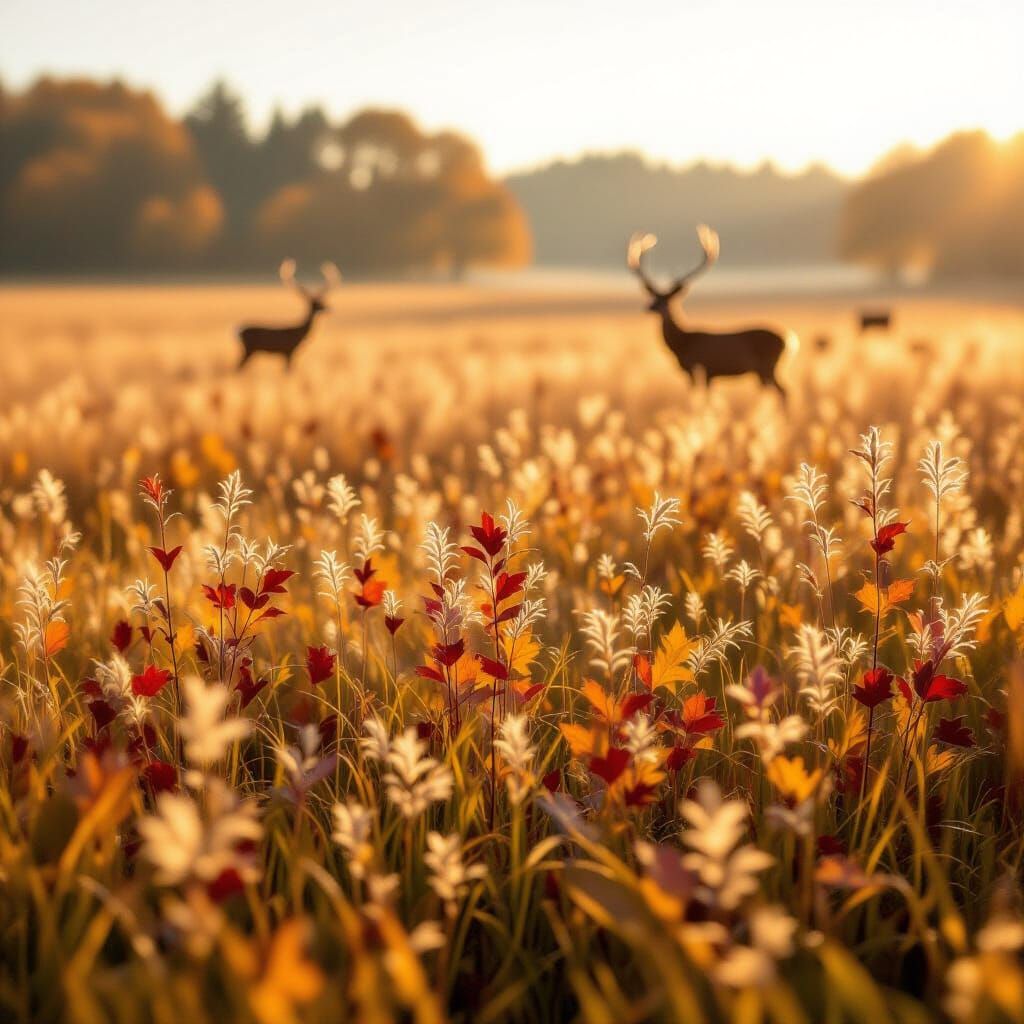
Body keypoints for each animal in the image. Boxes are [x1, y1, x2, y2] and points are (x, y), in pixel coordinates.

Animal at [627, 225, 796, 397]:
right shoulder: (705, 372)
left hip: (767, 365)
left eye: (669, 300)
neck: (683, 343)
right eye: (653, 296)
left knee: (784, 390)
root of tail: (788, 340)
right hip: (763, 370)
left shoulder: (700, 366)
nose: (650, 307)